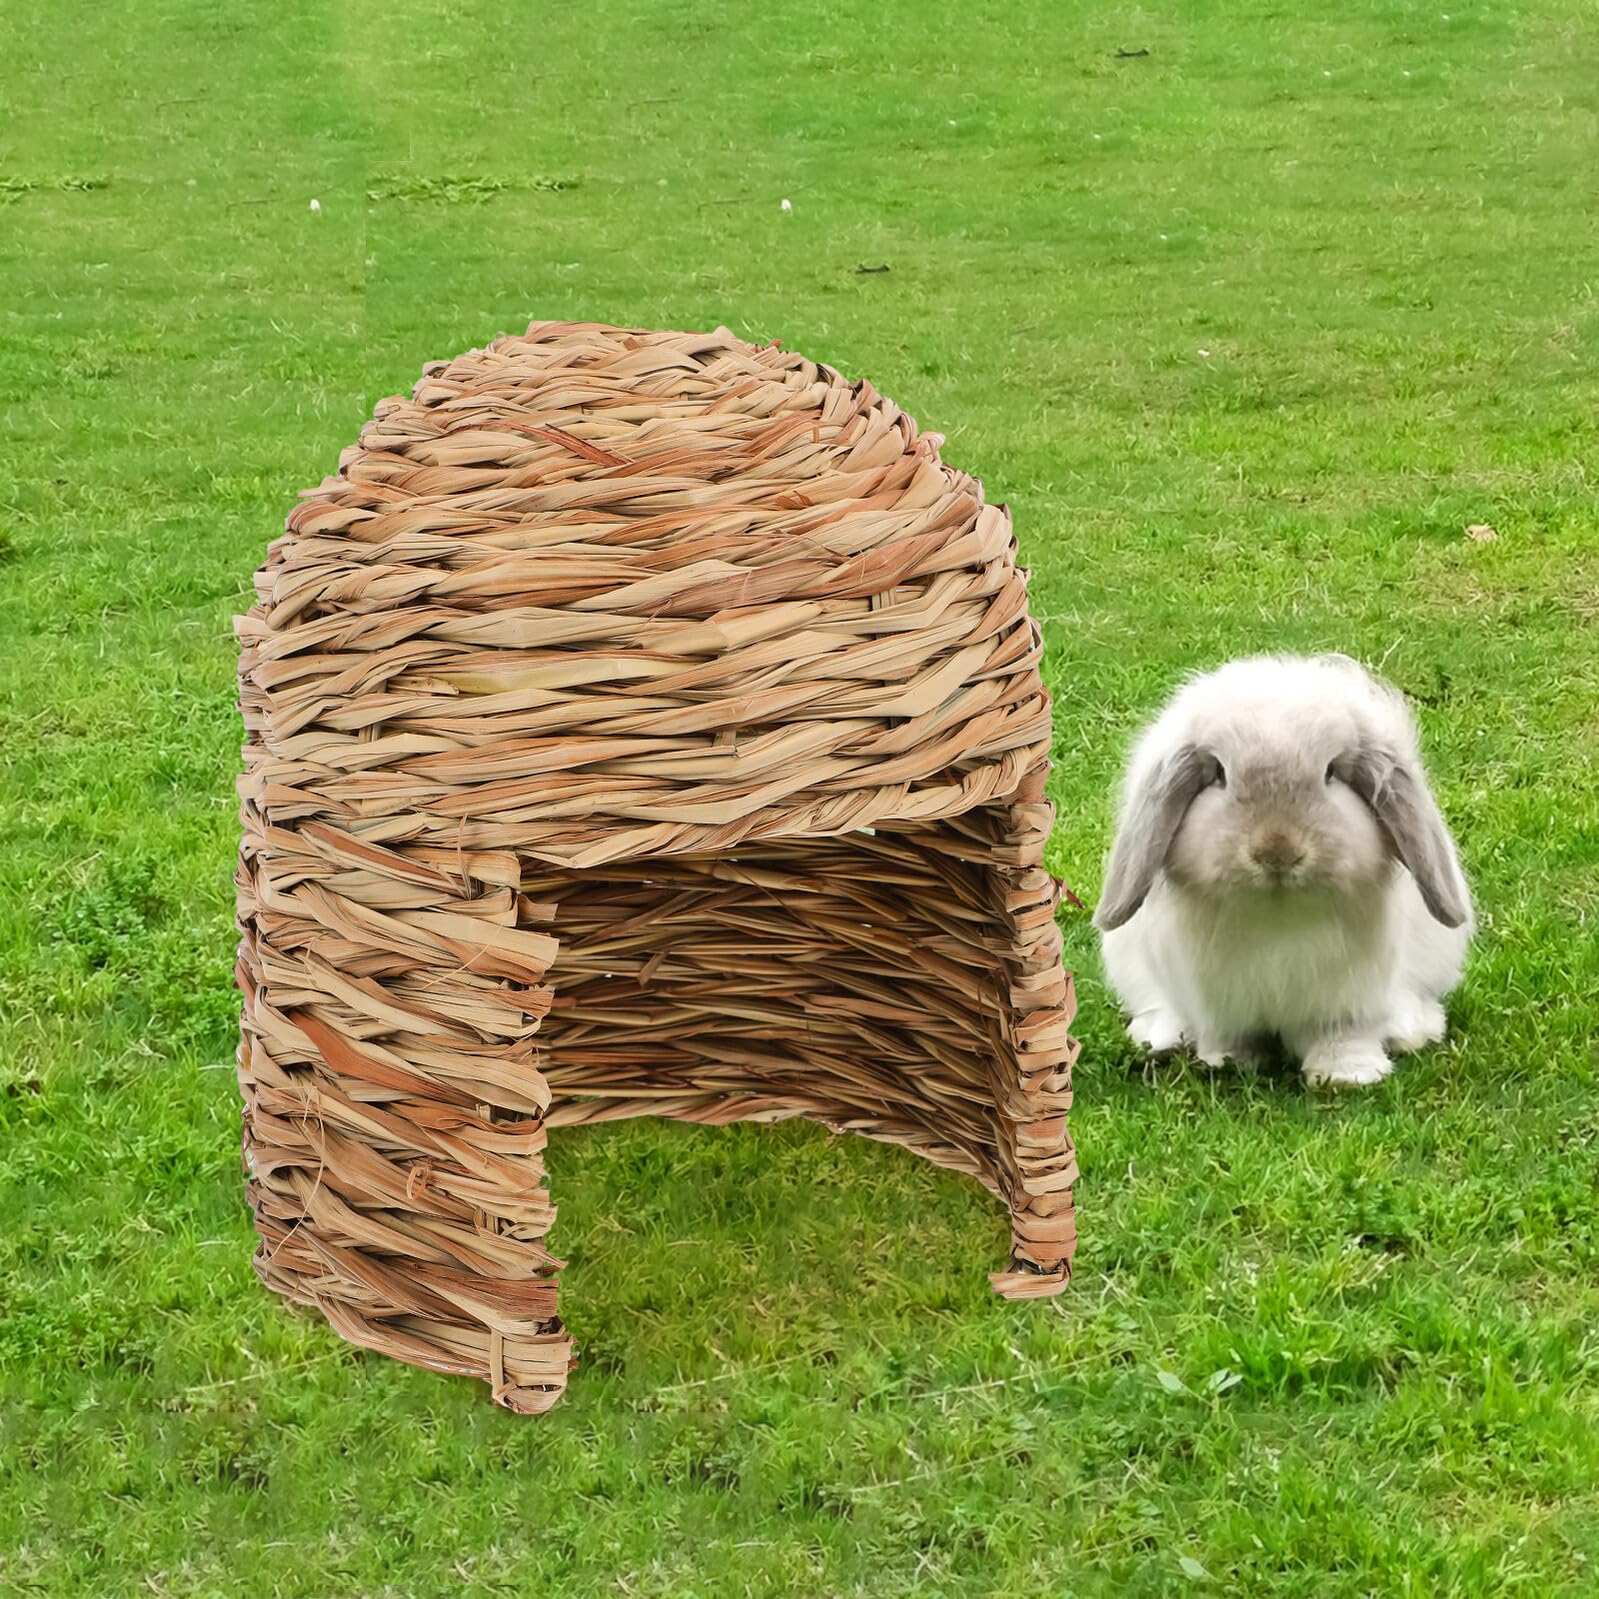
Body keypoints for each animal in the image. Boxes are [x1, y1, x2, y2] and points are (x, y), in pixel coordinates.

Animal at [1094, 654, 1473, 1087]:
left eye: (1331, 772)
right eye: (1219, 774)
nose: (1277, 853)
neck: (1278, 913)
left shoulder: (1347, 1002)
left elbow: (1342, 1035)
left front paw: (1346, 1075)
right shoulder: (1219, 1002)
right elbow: (1229, 1035)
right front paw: (1227, 1062)